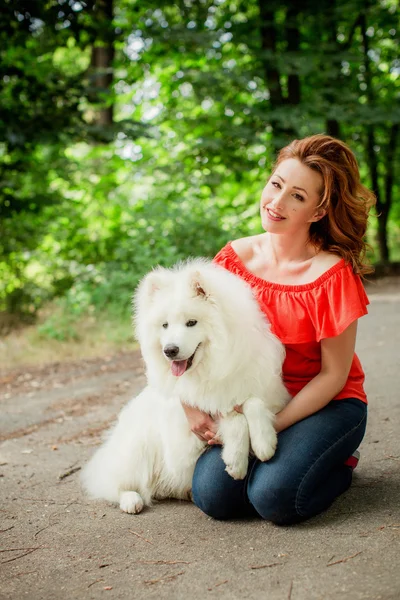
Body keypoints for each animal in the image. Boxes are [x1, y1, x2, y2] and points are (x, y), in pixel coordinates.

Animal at [81, 260, 290, 512]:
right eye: (165, 325)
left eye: (191, 322)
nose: (170, 350)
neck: (213, 367)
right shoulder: (192, 424)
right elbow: (233, 418)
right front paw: (236, 461)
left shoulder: (268, 392)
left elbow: (252, 402)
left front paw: (263, 442)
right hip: (138, 447)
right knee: (116, 484)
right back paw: (131, 500)